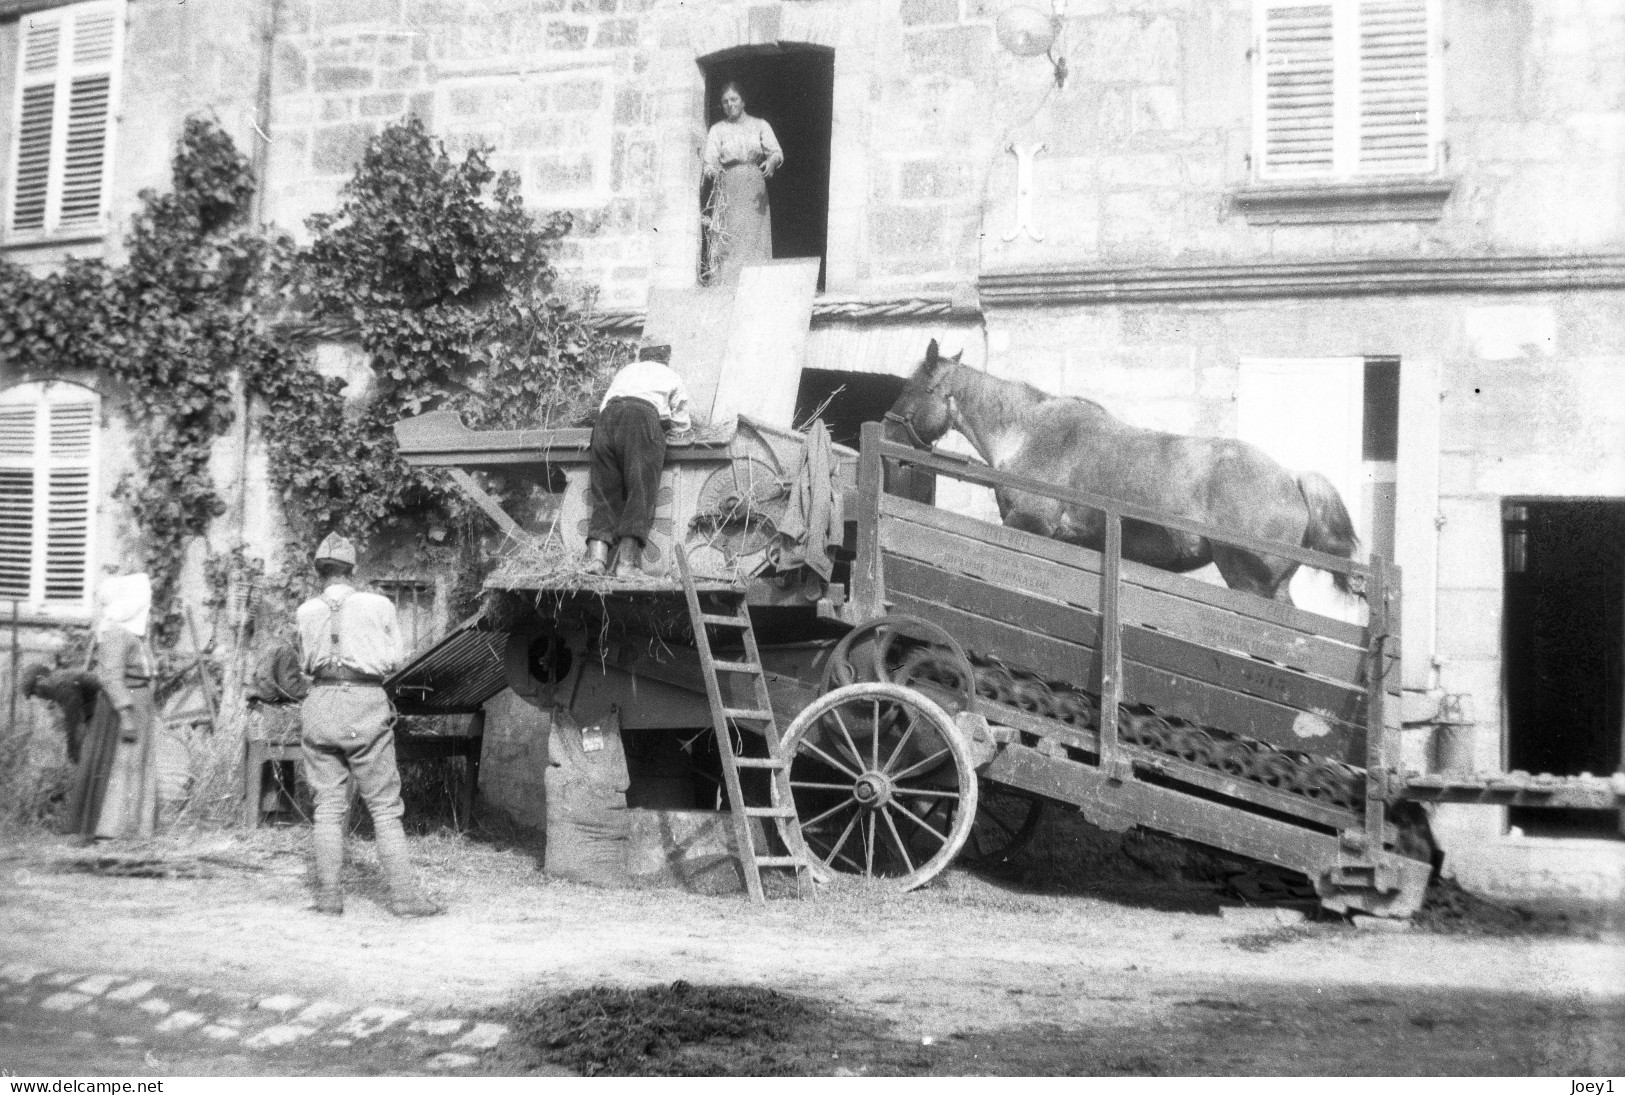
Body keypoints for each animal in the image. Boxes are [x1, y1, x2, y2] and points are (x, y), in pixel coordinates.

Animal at [884, 336, 1365, 601]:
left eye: (913, 387)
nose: (887, 430)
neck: (1028, 432)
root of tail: (1292, 480)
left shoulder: (1030, 527)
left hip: (1249, 583)